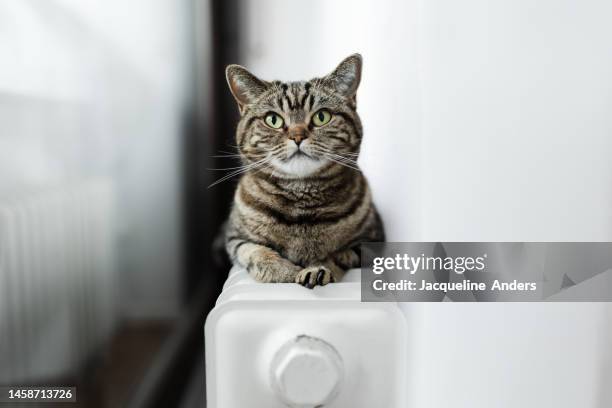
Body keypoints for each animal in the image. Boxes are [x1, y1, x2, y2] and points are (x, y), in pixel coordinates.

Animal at [222, 55, 384, 288]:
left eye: (321, 117)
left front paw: (316, 269)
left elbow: (338, 255)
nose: (297, 136)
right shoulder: (235, 238)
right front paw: (286, 272)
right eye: (273, 119)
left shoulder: (371, 241)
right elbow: (258, 253)